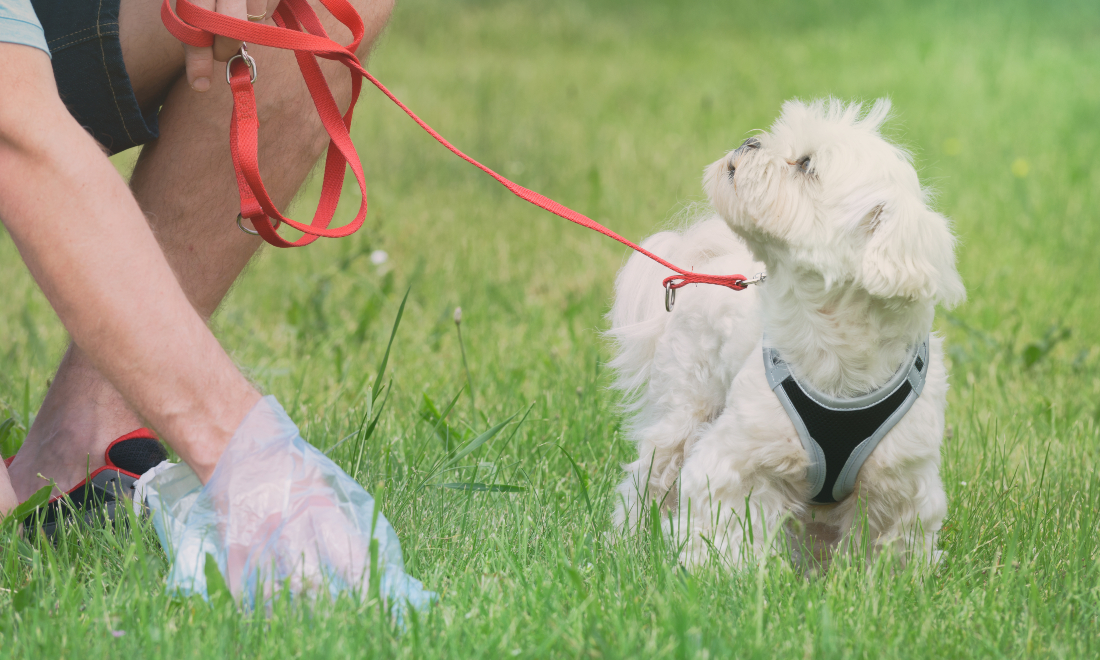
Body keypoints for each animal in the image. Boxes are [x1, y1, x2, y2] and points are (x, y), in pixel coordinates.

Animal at [611, 99, 963, 572]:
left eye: (807, 165)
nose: (749, 142)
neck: (835, 352)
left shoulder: (896, 485)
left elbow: (885, 549)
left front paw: (881, 585)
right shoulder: (738, 459)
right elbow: (725, 527)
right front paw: (720, 576)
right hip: (686, 410)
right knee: (650, 477)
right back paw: (625, 544)